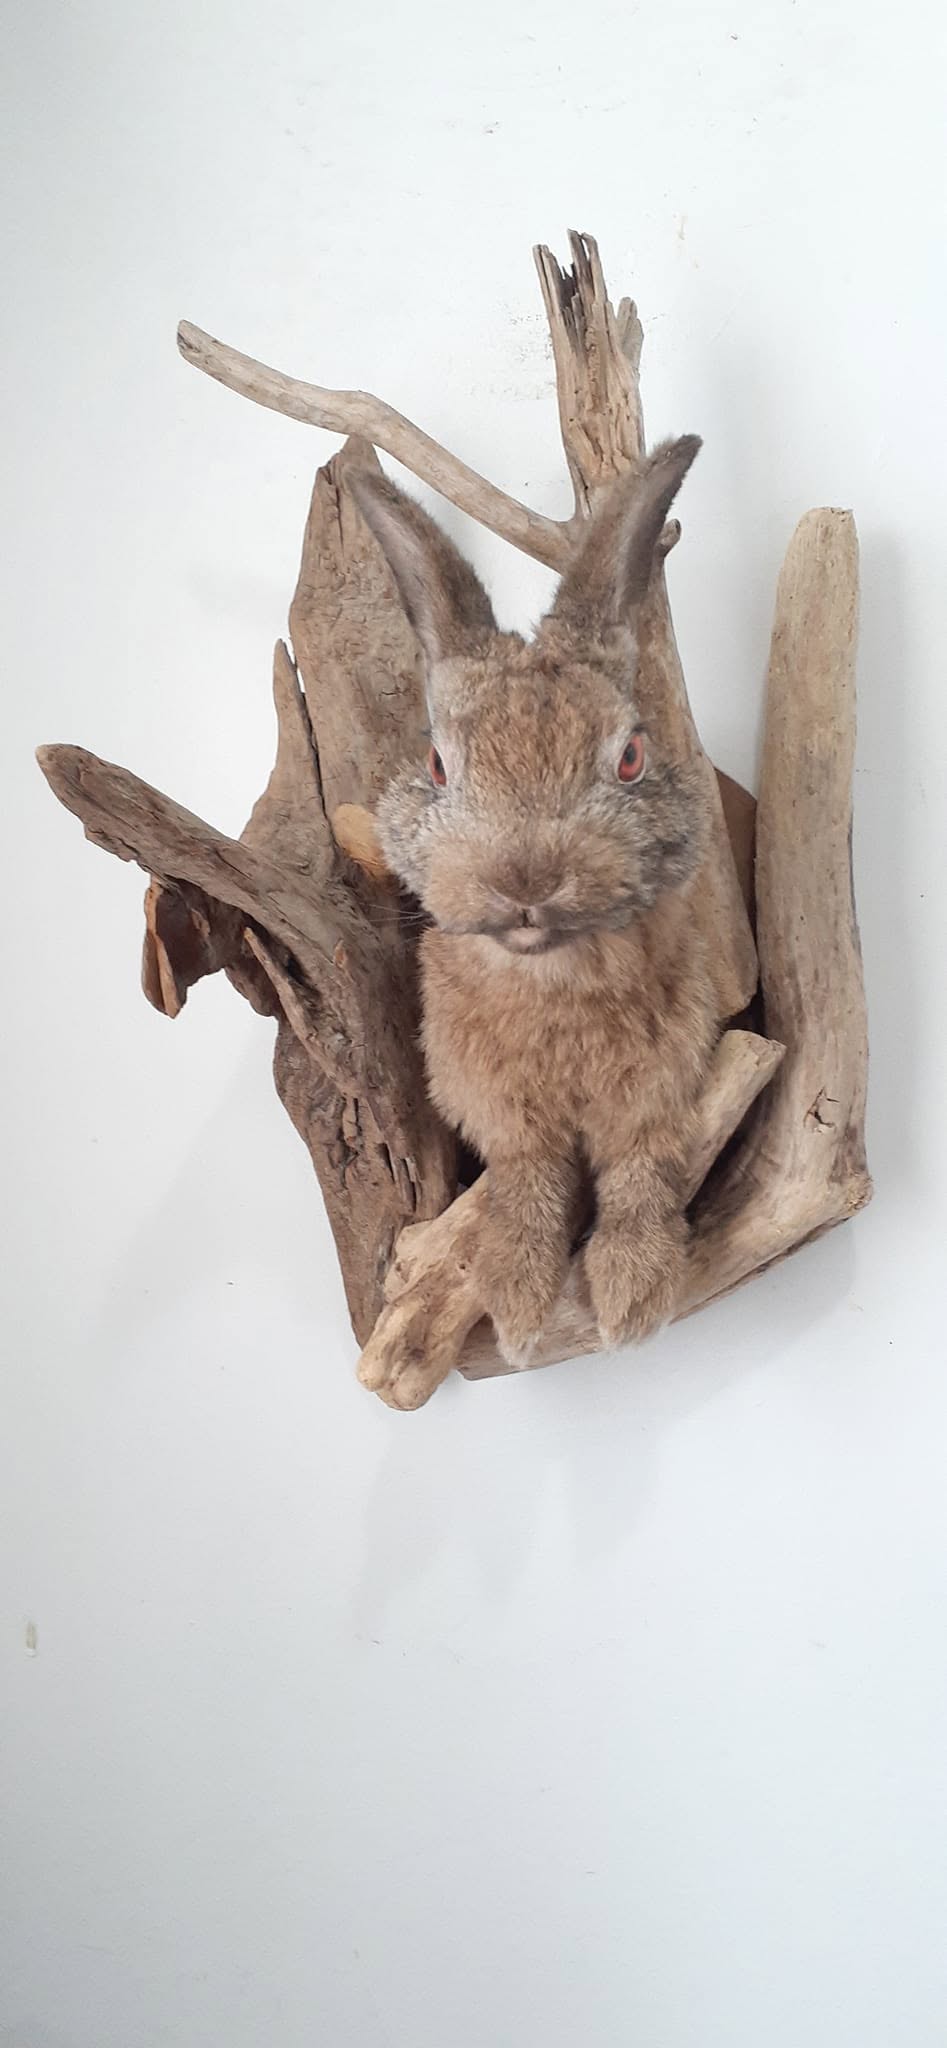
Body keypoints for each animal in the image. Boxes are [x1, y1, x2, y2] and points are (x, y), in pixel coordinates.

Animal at [349, 437, 718, 1365]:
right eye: (436, 765)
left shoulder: (660, 1084)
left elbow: (638, 1169)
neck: (551, 977)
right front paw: (516, 1304)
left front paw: (630, 1295)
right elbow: (527, 1179)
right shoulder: (496, 1105)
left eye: (630, 757)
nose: (523, 879)